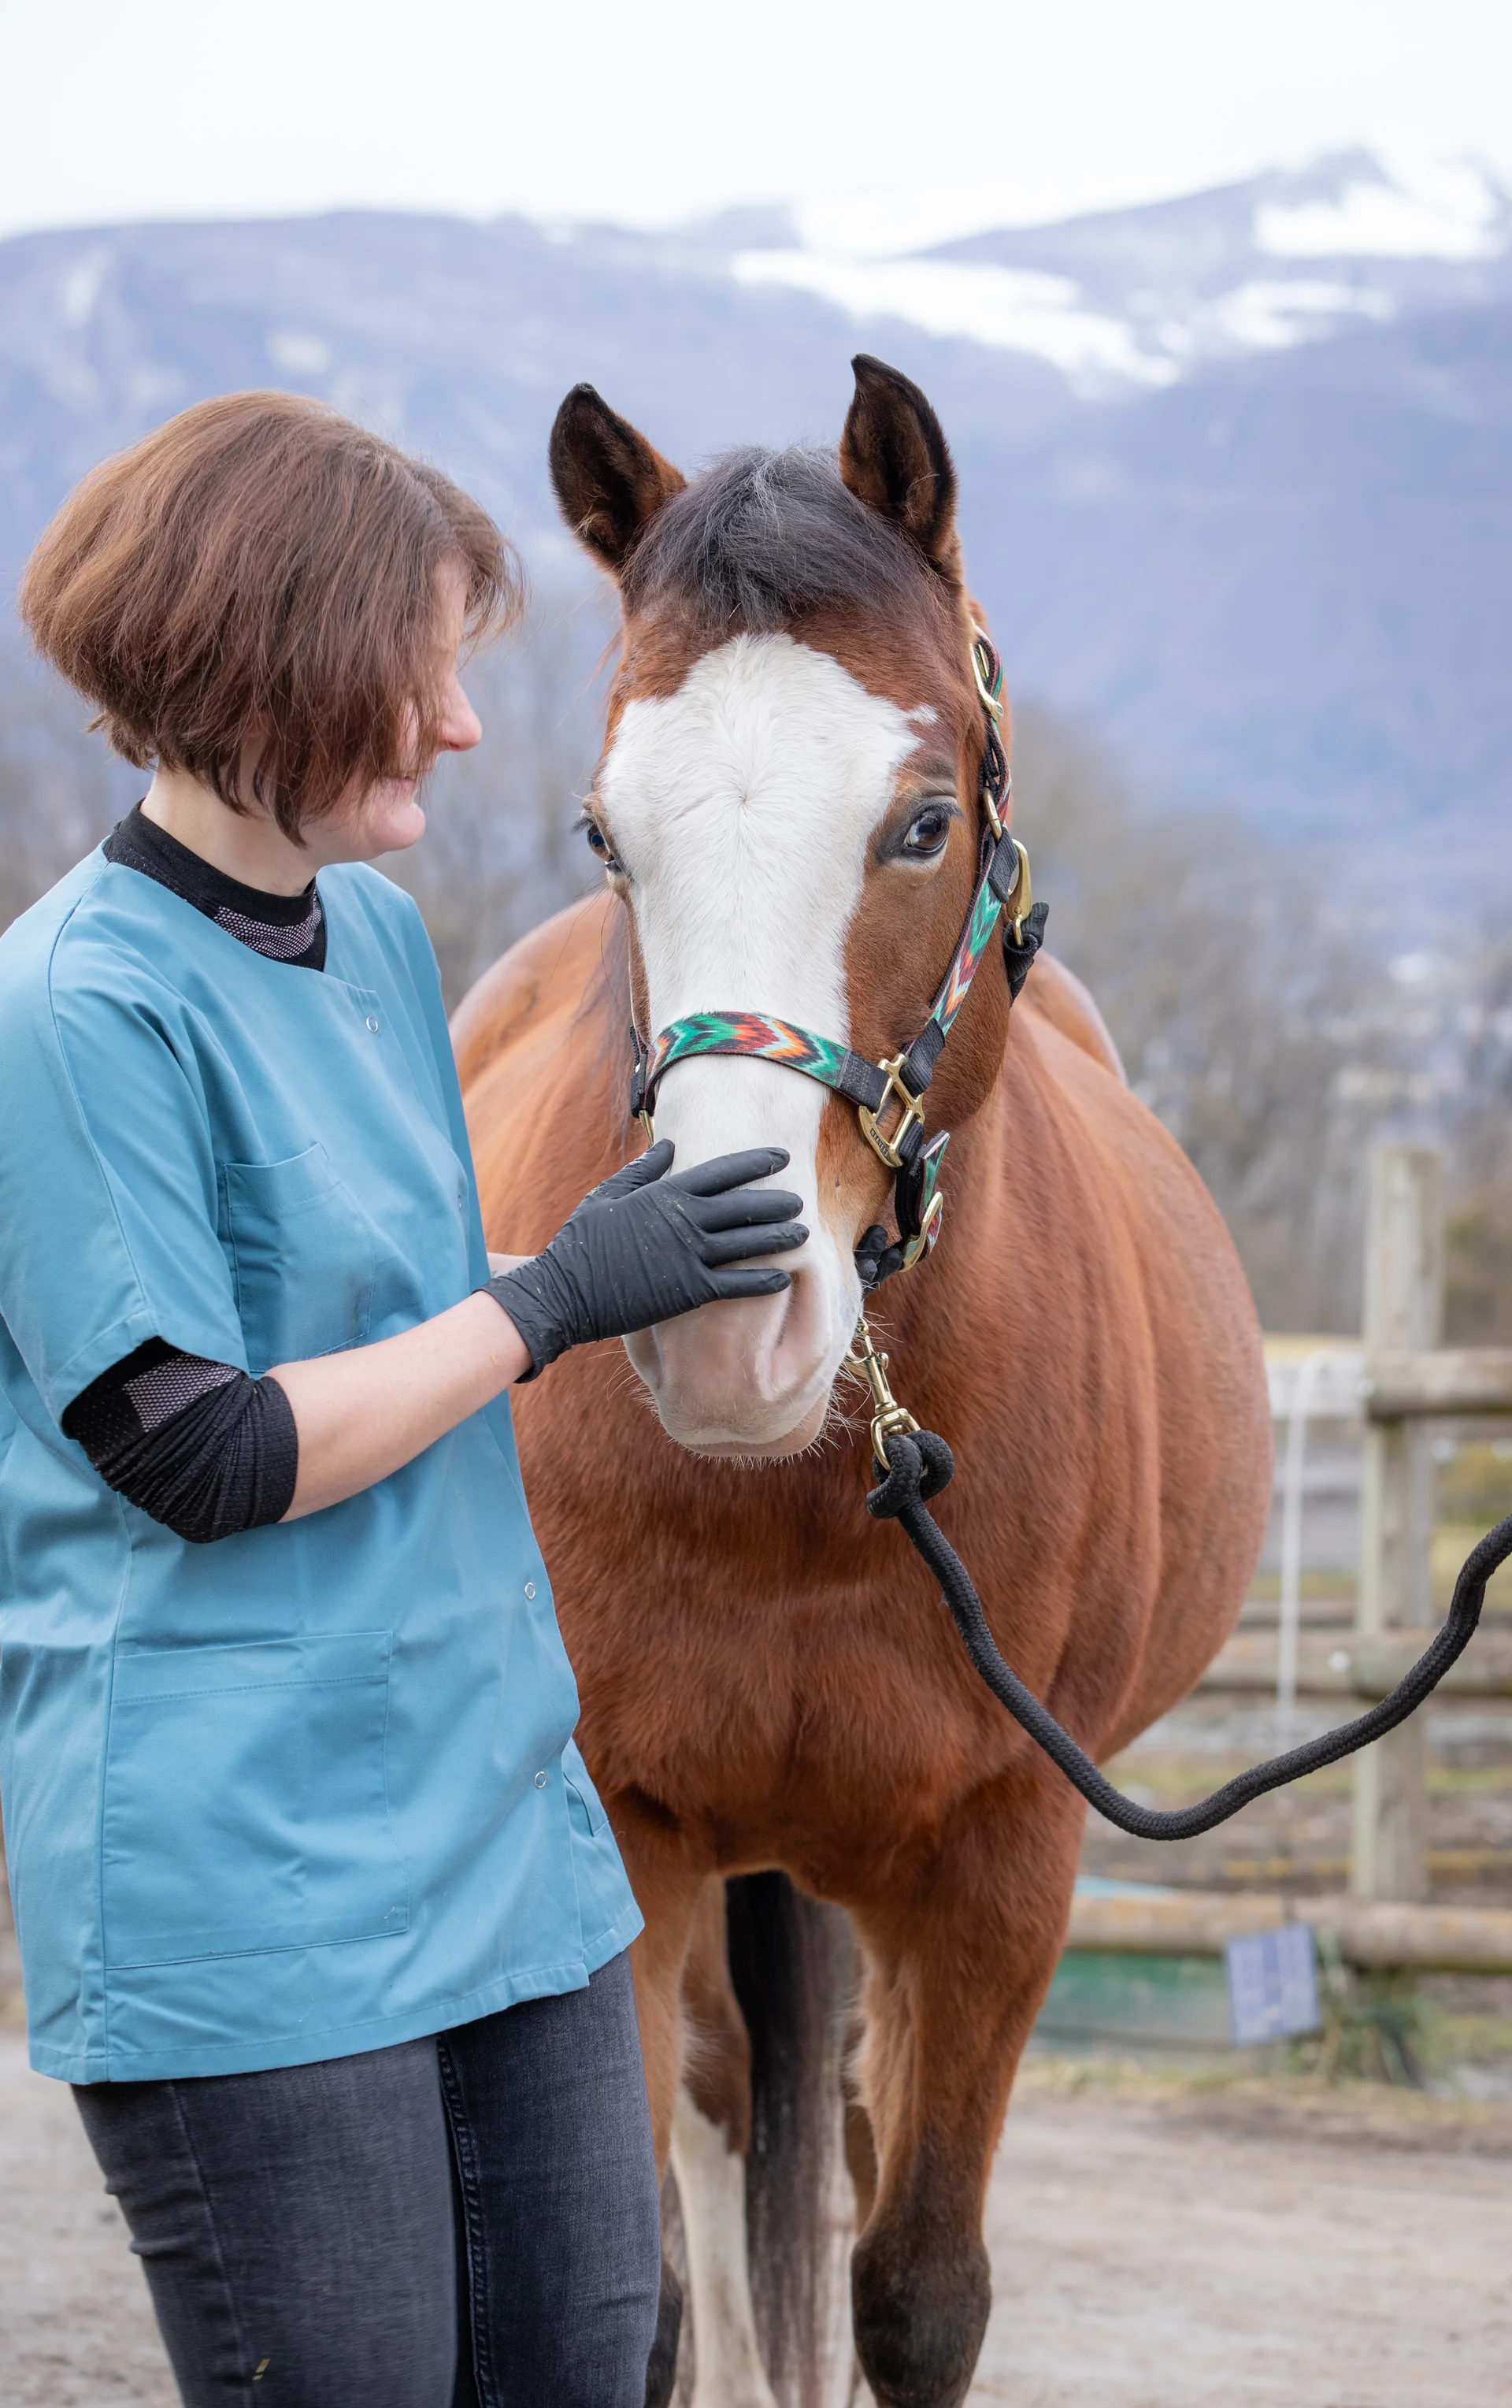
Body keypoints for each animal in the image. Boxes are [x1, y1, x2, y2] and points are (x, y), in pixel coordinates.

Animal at [453, 355, 1273, 2408]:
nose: (720, 1315)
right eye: (607, 835)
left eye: (917, 824)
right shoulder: (628, 1836)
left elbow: (916, 2289)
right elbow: (651, 2285)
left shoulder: (1002, 1869)